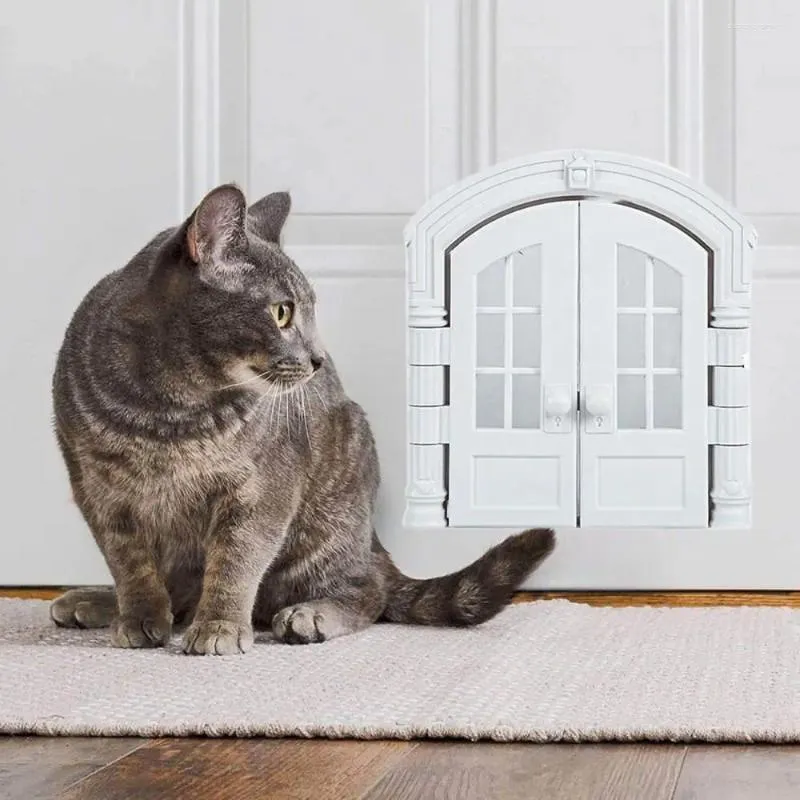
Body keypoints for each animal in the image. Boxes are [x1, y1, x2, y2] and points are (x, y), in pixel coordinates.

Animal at [47, 184, 552, 652]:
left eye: (303, 312)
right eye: (282, 312)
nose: (317, 359)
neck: (169, 409)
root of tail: (373, 540)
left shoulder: (263, 489)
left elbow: (236, 561)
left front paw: (220, 627)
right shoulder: (98, 489)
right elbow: (129, 563)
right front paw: (139, 618)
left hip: (329, 516)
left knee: (369, 588)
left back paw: (310, 614)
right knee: (180, 589)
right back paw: (98, 602)